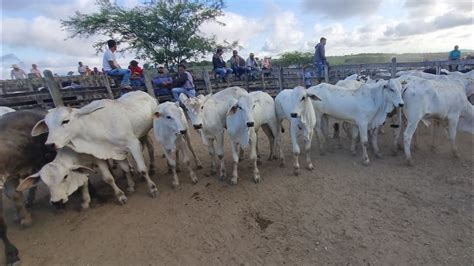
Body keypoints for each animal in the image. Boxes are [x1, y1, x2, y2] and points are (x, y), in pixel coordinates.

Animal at [30, 91, 158, 197]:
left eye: (65, 121)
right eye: (47, 125)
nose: (49, 144)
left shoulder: (132, 144)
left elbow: (142, 169)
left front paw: (152, 188)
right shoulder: (109, 153)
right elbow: (114, 175)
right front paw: (126, 190)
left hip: (145, 133)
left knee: (150, 148)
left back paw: (151, 168)